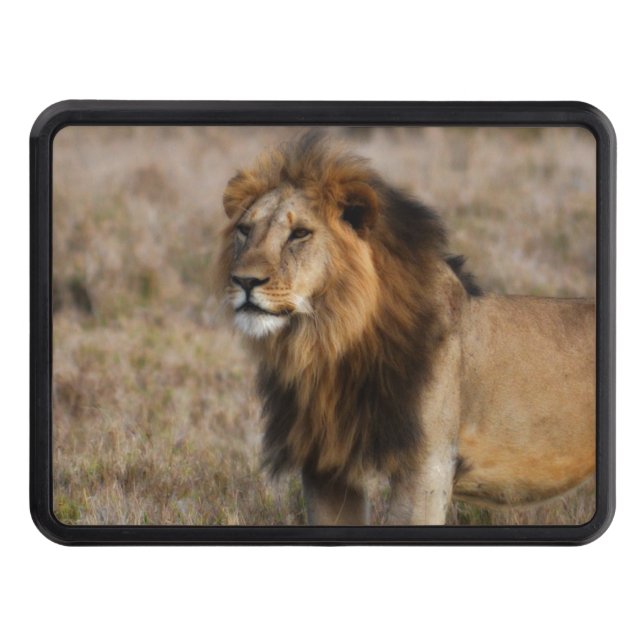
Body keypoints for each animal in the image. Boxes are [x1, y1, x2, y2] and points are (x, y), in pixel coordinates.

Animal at [216, 133, 595, 525]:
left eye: (300, 234)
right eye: (245, 230)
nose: (244, 281)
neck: (328, 344)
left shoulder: (427, 464)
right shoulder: (325, 466)